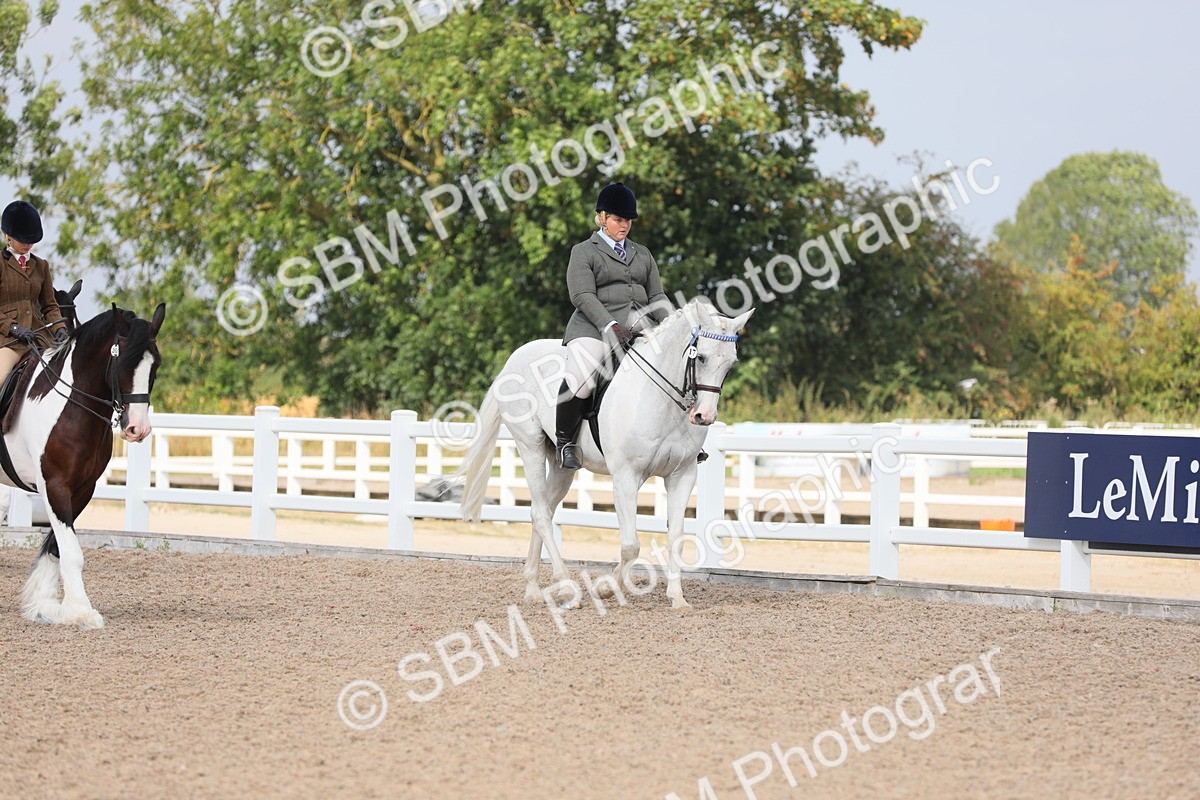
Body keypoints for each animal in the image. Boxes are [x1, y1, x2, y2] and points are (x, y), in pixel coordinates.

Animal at [14, 303, 166, 629]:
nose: (137, 429)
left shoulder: (82, 488)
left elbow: (58, 546)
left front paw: (45, 606)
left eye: (155, 366)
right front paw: (81, 610)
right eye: (123, 363)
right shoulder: (54, 485)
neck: (71, 407)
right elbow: (71, 551)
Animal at [459, 299, 753, 610]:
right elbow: (631, 545)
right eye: (702, 358)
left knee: (544, 511)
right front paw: (606, 588)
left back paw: (533, 588)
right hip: (530, 447)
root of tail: (511, 362)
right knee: (540, 513)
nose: (704, 416)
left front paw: (677, 599)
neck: (661, 398)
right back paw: (566, 589)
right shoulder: (625, 476)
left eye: (730, 364)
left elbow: (676, 537)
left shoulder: (683, 475)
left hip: (561, 467)